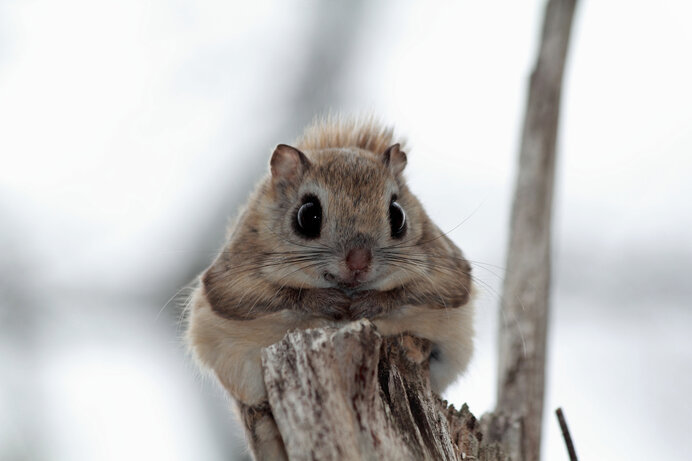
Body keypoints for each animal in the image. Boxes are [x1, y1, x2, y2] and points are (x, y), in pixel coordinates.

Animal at [185, 117, 476, 458]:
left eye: (398, 215)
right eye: (307, 215)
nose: (358, 261)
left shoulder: (449, 266)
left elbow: (432, 289)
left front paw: (371, 303)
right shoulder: (232, 273)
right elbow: (250, 296)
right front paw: (324, 301)